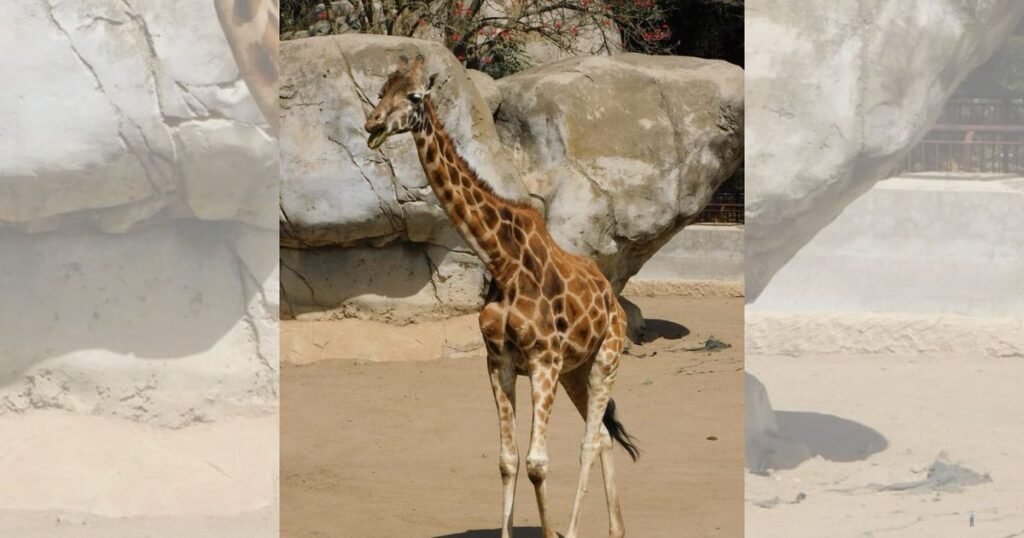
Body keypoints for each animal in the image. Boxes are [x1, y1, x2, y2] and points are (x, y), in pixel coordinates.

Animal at [364, 54, 640, 538]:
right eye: (382, 90)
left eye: (413, 96)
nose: (372, 124)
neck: (502, 260)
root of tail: (612, 296)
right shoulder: (500, 361)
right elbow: (508, 461)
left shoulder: (543, 360)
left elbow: (537, 463)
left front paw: (551, 531)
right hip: (576, 370)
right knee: (604, 435)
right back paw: (616, 529)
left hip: (606, 357)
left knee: (589, 440)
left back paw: (573, 529)